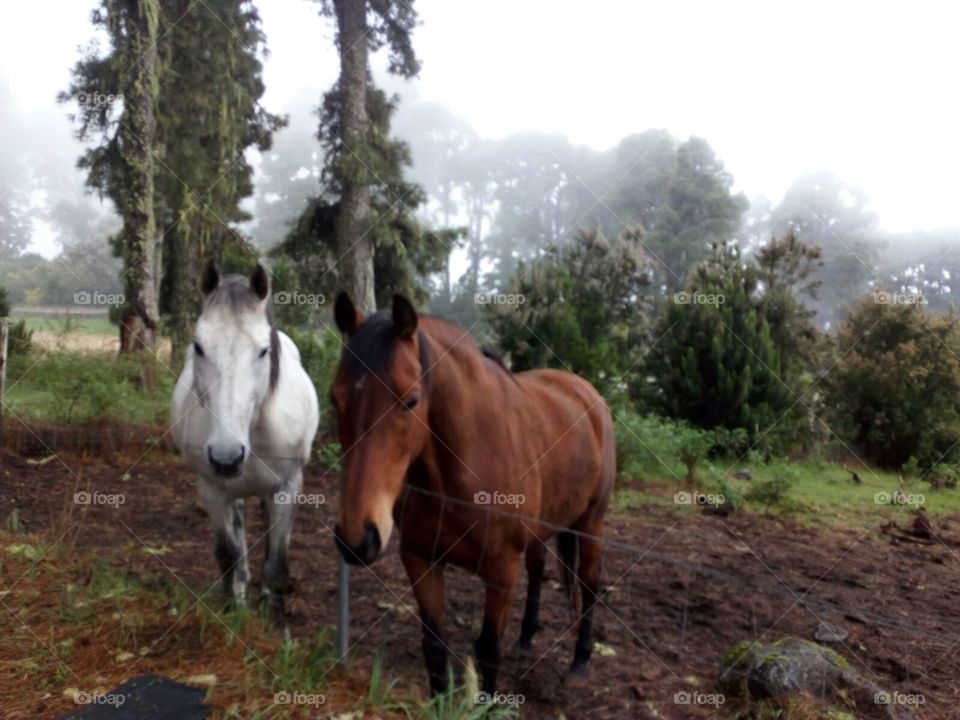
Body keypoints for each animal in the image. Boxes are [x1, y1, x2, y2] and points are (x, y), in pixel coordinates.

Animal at [170, 262, 320, 622]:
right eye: (198, 347)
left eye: (264, 350)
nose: (227, 457)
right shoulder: (212, 489)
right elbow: (228, 557)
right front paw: (234, 614)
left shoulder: (286, 487)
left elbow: (277, 567)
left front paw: (274, 623)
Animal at [330, 292, 616, 695]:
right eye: (335, 399)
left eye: (410, 401)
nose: (358, 538)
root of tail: (587, 393)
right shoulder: (420, 559)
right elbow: (434, 645)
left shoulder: (501, 570)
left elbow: (488, 650)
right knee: (539, 569)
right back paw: (526, 638)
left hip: (591, 523)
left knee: (589, 584)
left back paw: (580, 661)